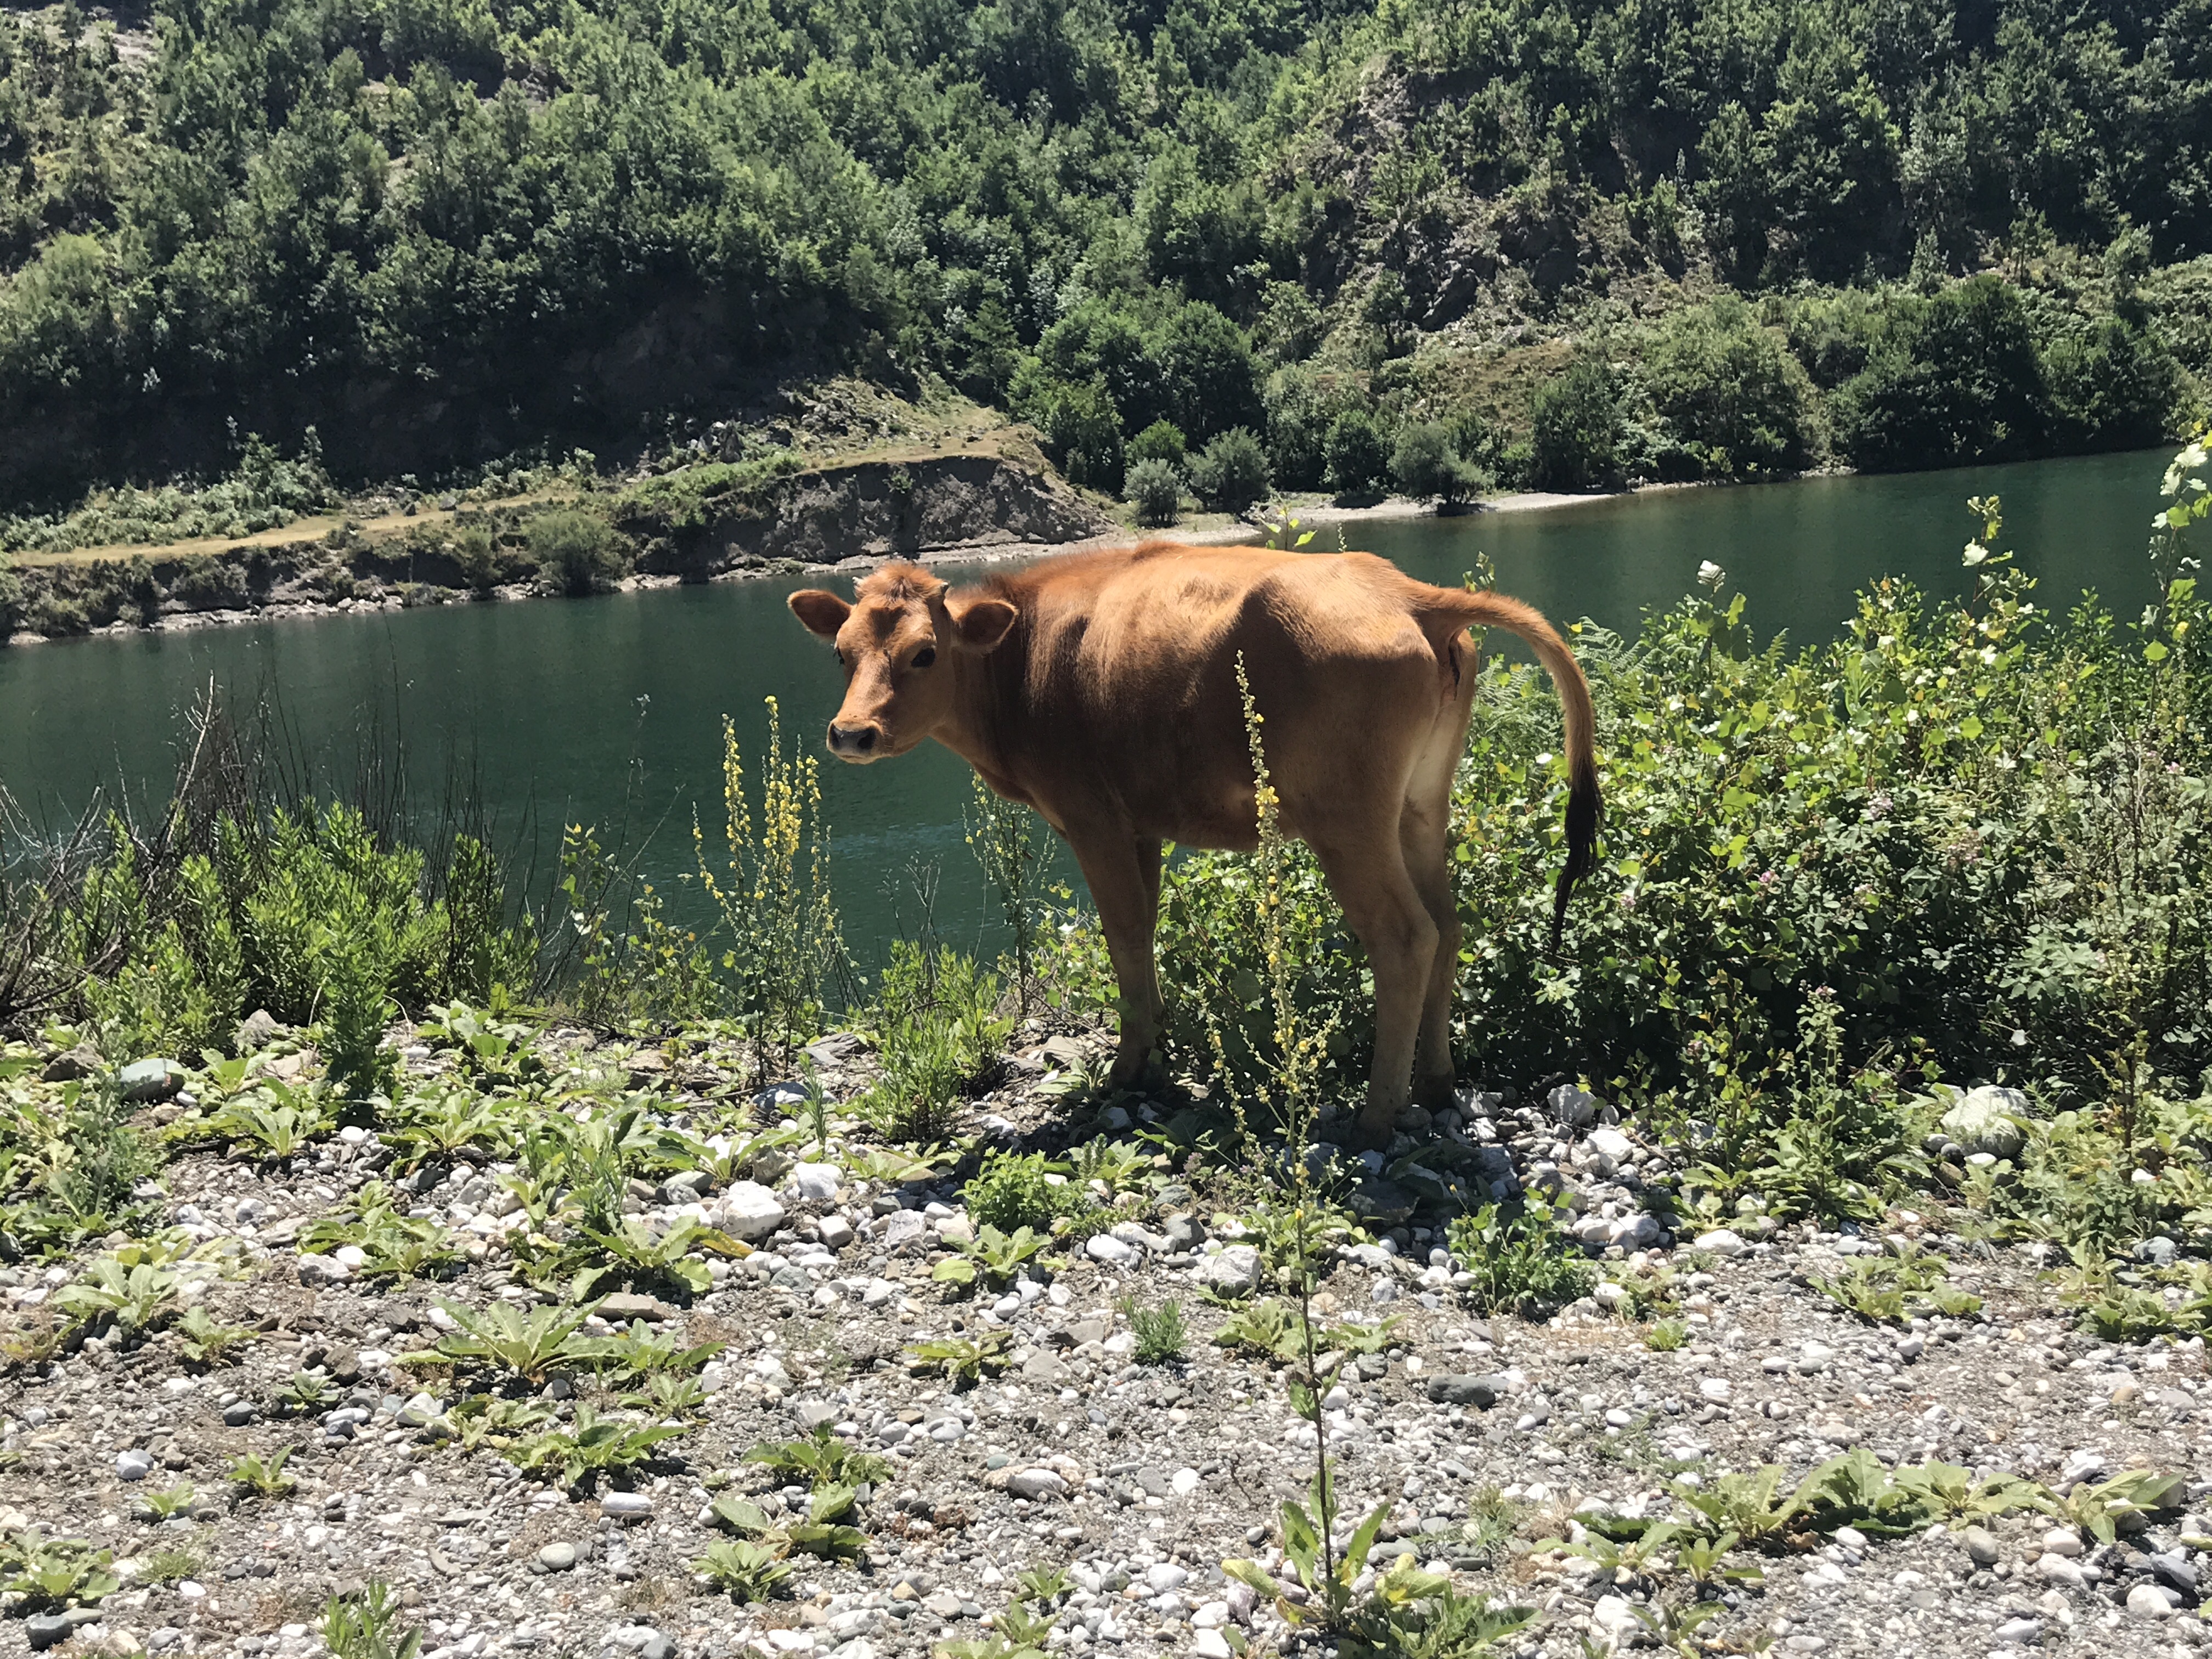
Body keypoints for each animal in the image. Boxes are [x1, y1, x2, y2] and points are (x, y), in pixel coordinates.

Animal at [787, 539, 1601, 1150]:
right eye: (841, 654)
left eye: (925, 654)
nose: (850, 733)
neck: (1021, 664)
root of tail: (1407, 592)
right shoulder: (1140, 822)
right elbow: (1145, 930)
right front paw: (1158, 1052)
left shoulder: (1091, 817)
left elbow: (1122, 934)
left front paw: (1129, 1066)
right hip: (1419, 807)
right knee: (1452, 925)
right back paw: (1434, 1084)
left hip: (1346, 818)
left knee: (1406, 937)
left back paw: (1377, 1114)